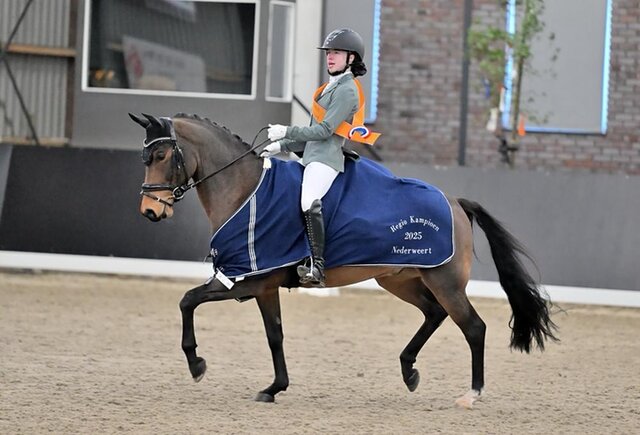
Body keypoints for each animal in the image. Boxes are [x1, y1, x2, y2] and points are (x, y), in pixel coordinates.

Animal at [129, 112, 557, 409]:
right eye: (144, 157)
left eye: (162, 154)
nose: (150, 211)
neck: (243, 189)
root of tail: (455, 202)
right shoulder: (263, 286)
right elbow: (274, 335)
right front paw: (274, 388)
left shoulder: (245, 279)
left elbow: (187, 300)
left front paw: (196, 365)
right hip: (398, 278)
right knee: (434, 314)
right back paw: (409, 370)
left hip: (445, 282)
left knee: (473, 327)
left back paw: (472, 394)